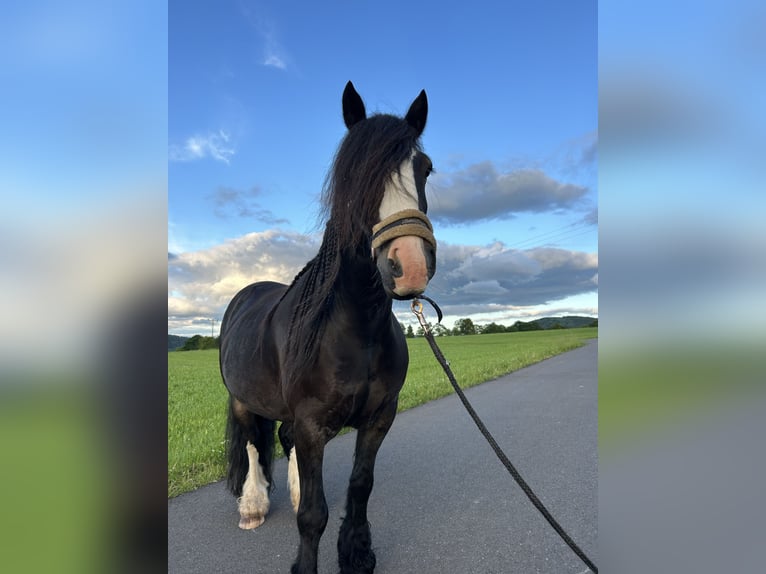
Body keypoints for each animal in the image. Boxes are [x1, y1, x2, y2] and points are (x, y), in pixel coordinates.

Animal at [219, 81, 436, 574]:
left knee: (282, 439)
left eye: (425, 169)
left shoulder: (378, 419)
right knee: (252, 444)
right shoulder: (312, 423)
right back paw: (253, 505)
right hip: (242, 398)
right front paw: (306, 564)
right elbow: (313, 515)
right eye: (354, 174)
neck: (356, 330)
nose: (409, 267)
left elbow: (360, 487)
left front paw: (356, 554)